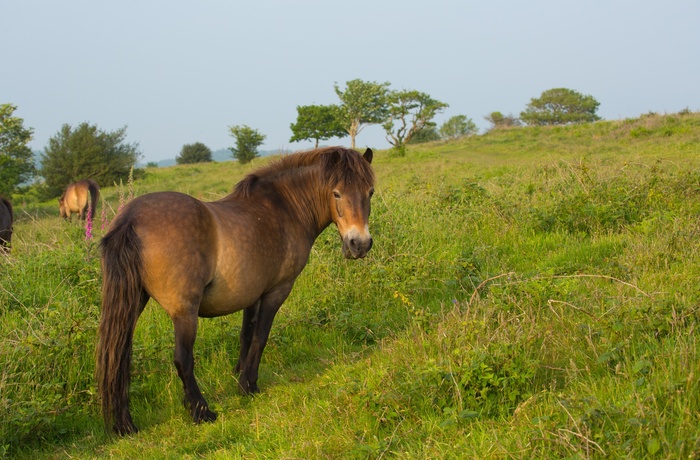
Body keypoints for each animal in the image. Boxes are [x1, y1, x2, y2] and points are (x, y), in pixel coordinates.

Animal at [97, 146, 375, 435]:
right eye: (337, 193)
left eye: (370, 192)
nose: (359, 244)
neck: (284, 208)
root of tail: (130, 218)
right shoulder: (277, 291)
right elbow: (260, 337)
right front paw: (248, 384)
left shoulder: (252, 294)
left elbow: (246, 336)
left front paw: (239, 374)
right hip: (184, 312)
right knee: (182, 359)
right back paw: (201, 411)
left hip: (133, 304)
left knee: (118, 359)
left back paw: (125, 424)